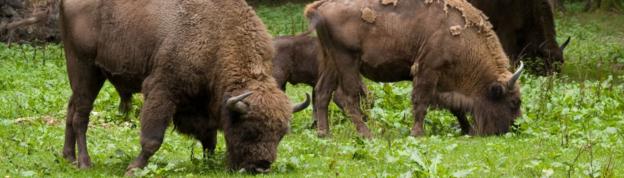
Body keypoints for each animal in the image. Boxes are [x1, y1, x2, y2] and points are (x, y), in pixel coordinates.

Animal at [60, 0, 310, 175]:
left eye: (281, 135)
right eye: (250, 129)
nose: (260, 167)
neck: (218, 36)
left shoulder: (202, 104)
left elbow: (210, 138)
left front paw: (209, 162)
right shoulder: (162, 91)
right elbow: (153, 139)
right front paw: (133, 168)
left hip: (87, 75)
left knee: (71, 109)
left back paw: (68, 158)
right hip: (84, 68)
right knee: (81, 116)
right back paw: (85, 163)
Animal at [304, 0, 524, 138]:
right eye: (513, 102)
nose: (515, 128)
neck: (462, 36)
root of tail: (321, 6)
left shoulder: (443, 81)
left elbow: (455, 107)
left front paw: (467, 129)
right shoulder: (429, 69)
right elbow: (422, 101)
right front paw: (417, 133)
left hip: (331, 61)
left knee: (323, 92)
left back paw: (324, 134)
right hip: (347, 61)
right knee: (347, 98)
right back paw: (368, 134)